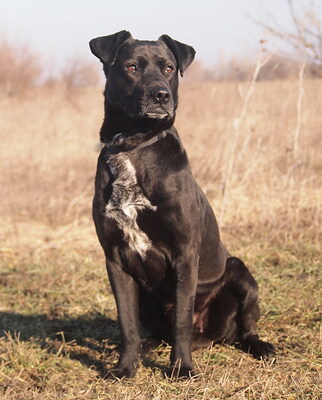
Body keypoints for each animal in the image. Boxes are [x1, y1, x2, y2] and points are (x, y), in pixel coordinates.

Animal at [90, 31, 274, 378]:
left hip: (241, 273)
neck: (133, 146)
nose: (161, 95)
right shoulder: (116, 259)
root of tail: (215, 336)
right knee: (154, 330)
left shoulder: (184, 254)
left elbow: (181, 321)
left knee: (244, 327)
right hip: (146, 295)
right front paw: (125, 367)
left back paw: (260, 346)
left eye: (169, 68)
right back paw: (147, 346)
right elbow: (126, 322)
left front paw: (183, 369)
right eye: (131, 67)